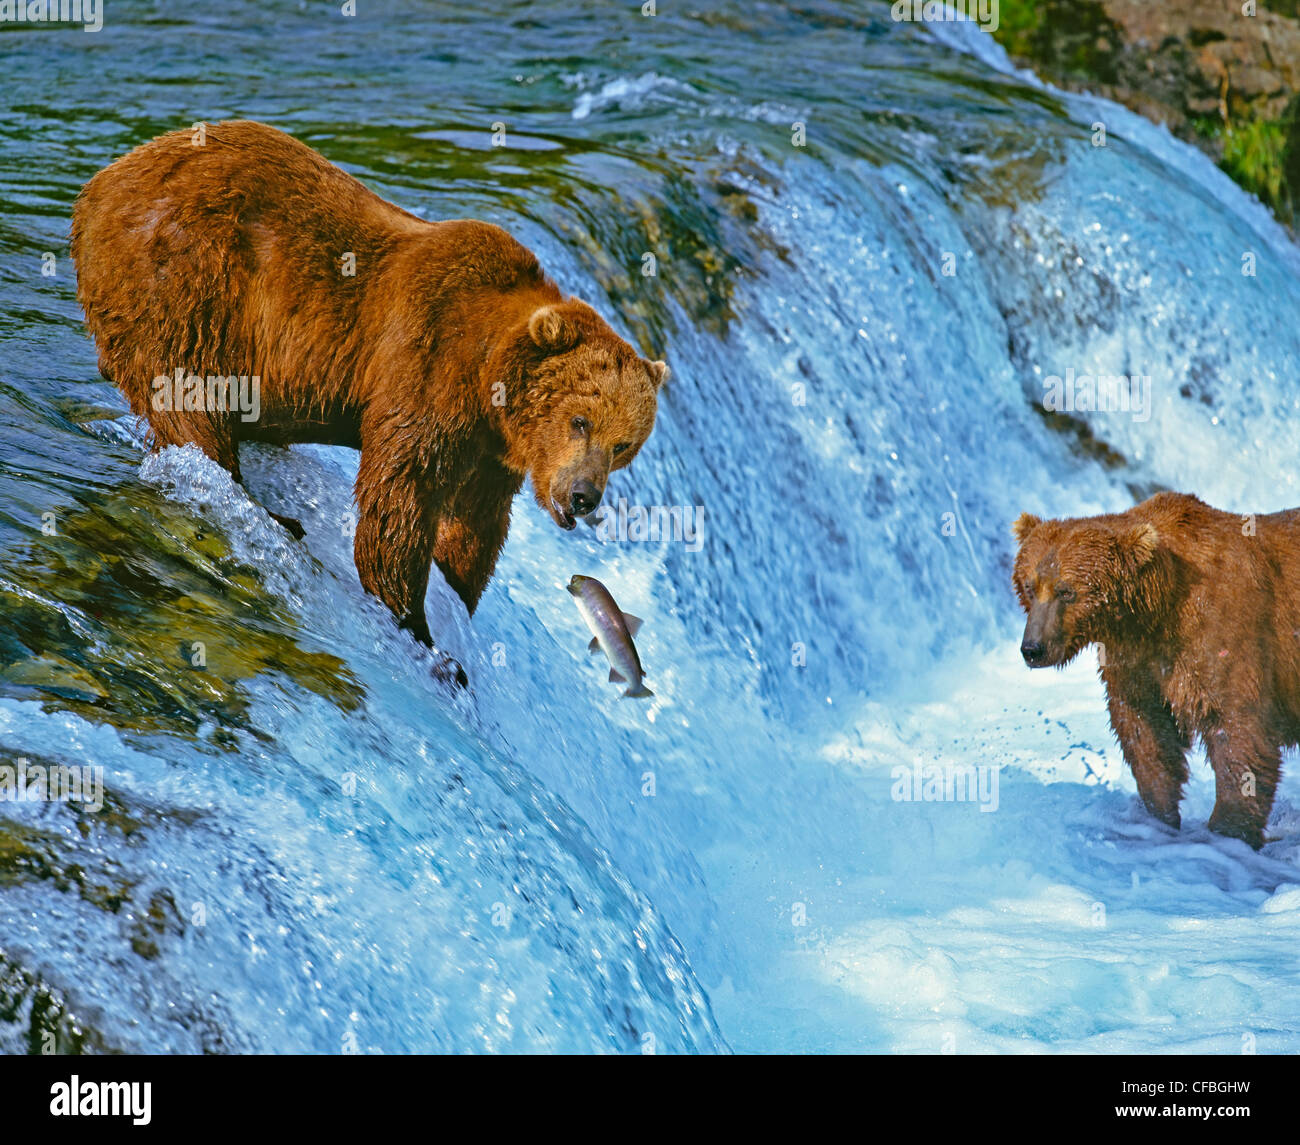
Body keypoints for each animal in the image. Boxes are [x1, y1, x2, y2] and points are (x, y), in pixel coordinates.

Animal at [65, 120, 665, 657]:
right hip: (188, 275)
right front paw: (418, 625)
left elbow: (474, 524)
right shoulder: (429, 360)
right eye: (580, 421)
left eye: (622, 446)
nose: (584, 496)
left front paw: (455, 590)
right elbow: (403, 493)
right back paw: (261, 508)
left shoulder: (491, 453)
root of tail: (99, 185)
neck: (488, 377)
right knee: (188, 391)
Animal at [1013, 486, 1300, 842]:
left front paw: (1228, 828)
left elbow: (1239, 733)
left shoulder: (1224, 635)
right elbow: (1146, 733)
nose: (1032, 648)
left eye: (1065, 592)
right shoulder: (1136, 658)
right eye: (1029, 586)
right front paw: (1160, 816)